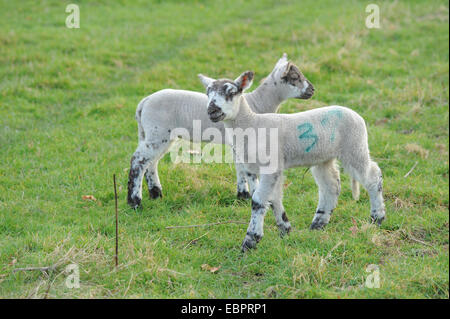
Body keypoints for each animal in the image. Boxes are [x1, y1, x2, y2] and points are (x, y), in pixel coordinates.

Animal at [126, 55, 314, 209]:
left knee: (151, 163)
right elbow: (247, 170)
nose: (312, 90)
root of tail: (144, 103)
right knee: (138, 160)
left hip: (156, 134)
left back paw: (156, 194)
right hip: (158, 132)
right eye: (295, 78)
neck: (257, 104)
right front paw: (251, 195)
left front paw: (242, 196)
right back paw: (135, 202)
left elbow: (240, 168)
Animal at [199, 70, 384, 252]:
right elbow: (274, 199)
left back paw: (377, 218)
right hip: (323, 156)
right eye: (208, 93)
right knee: (330, 186)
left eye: (231, 92)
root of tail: (356, 114)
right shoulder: (273, 167)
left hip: (355, 146)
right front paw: (285, 229)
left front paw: (250, 241)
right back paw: (318, 224)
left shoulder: (271, 165)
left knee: (372, 176)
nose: (212, 111)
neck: (252, 124)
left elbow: (258, 201)